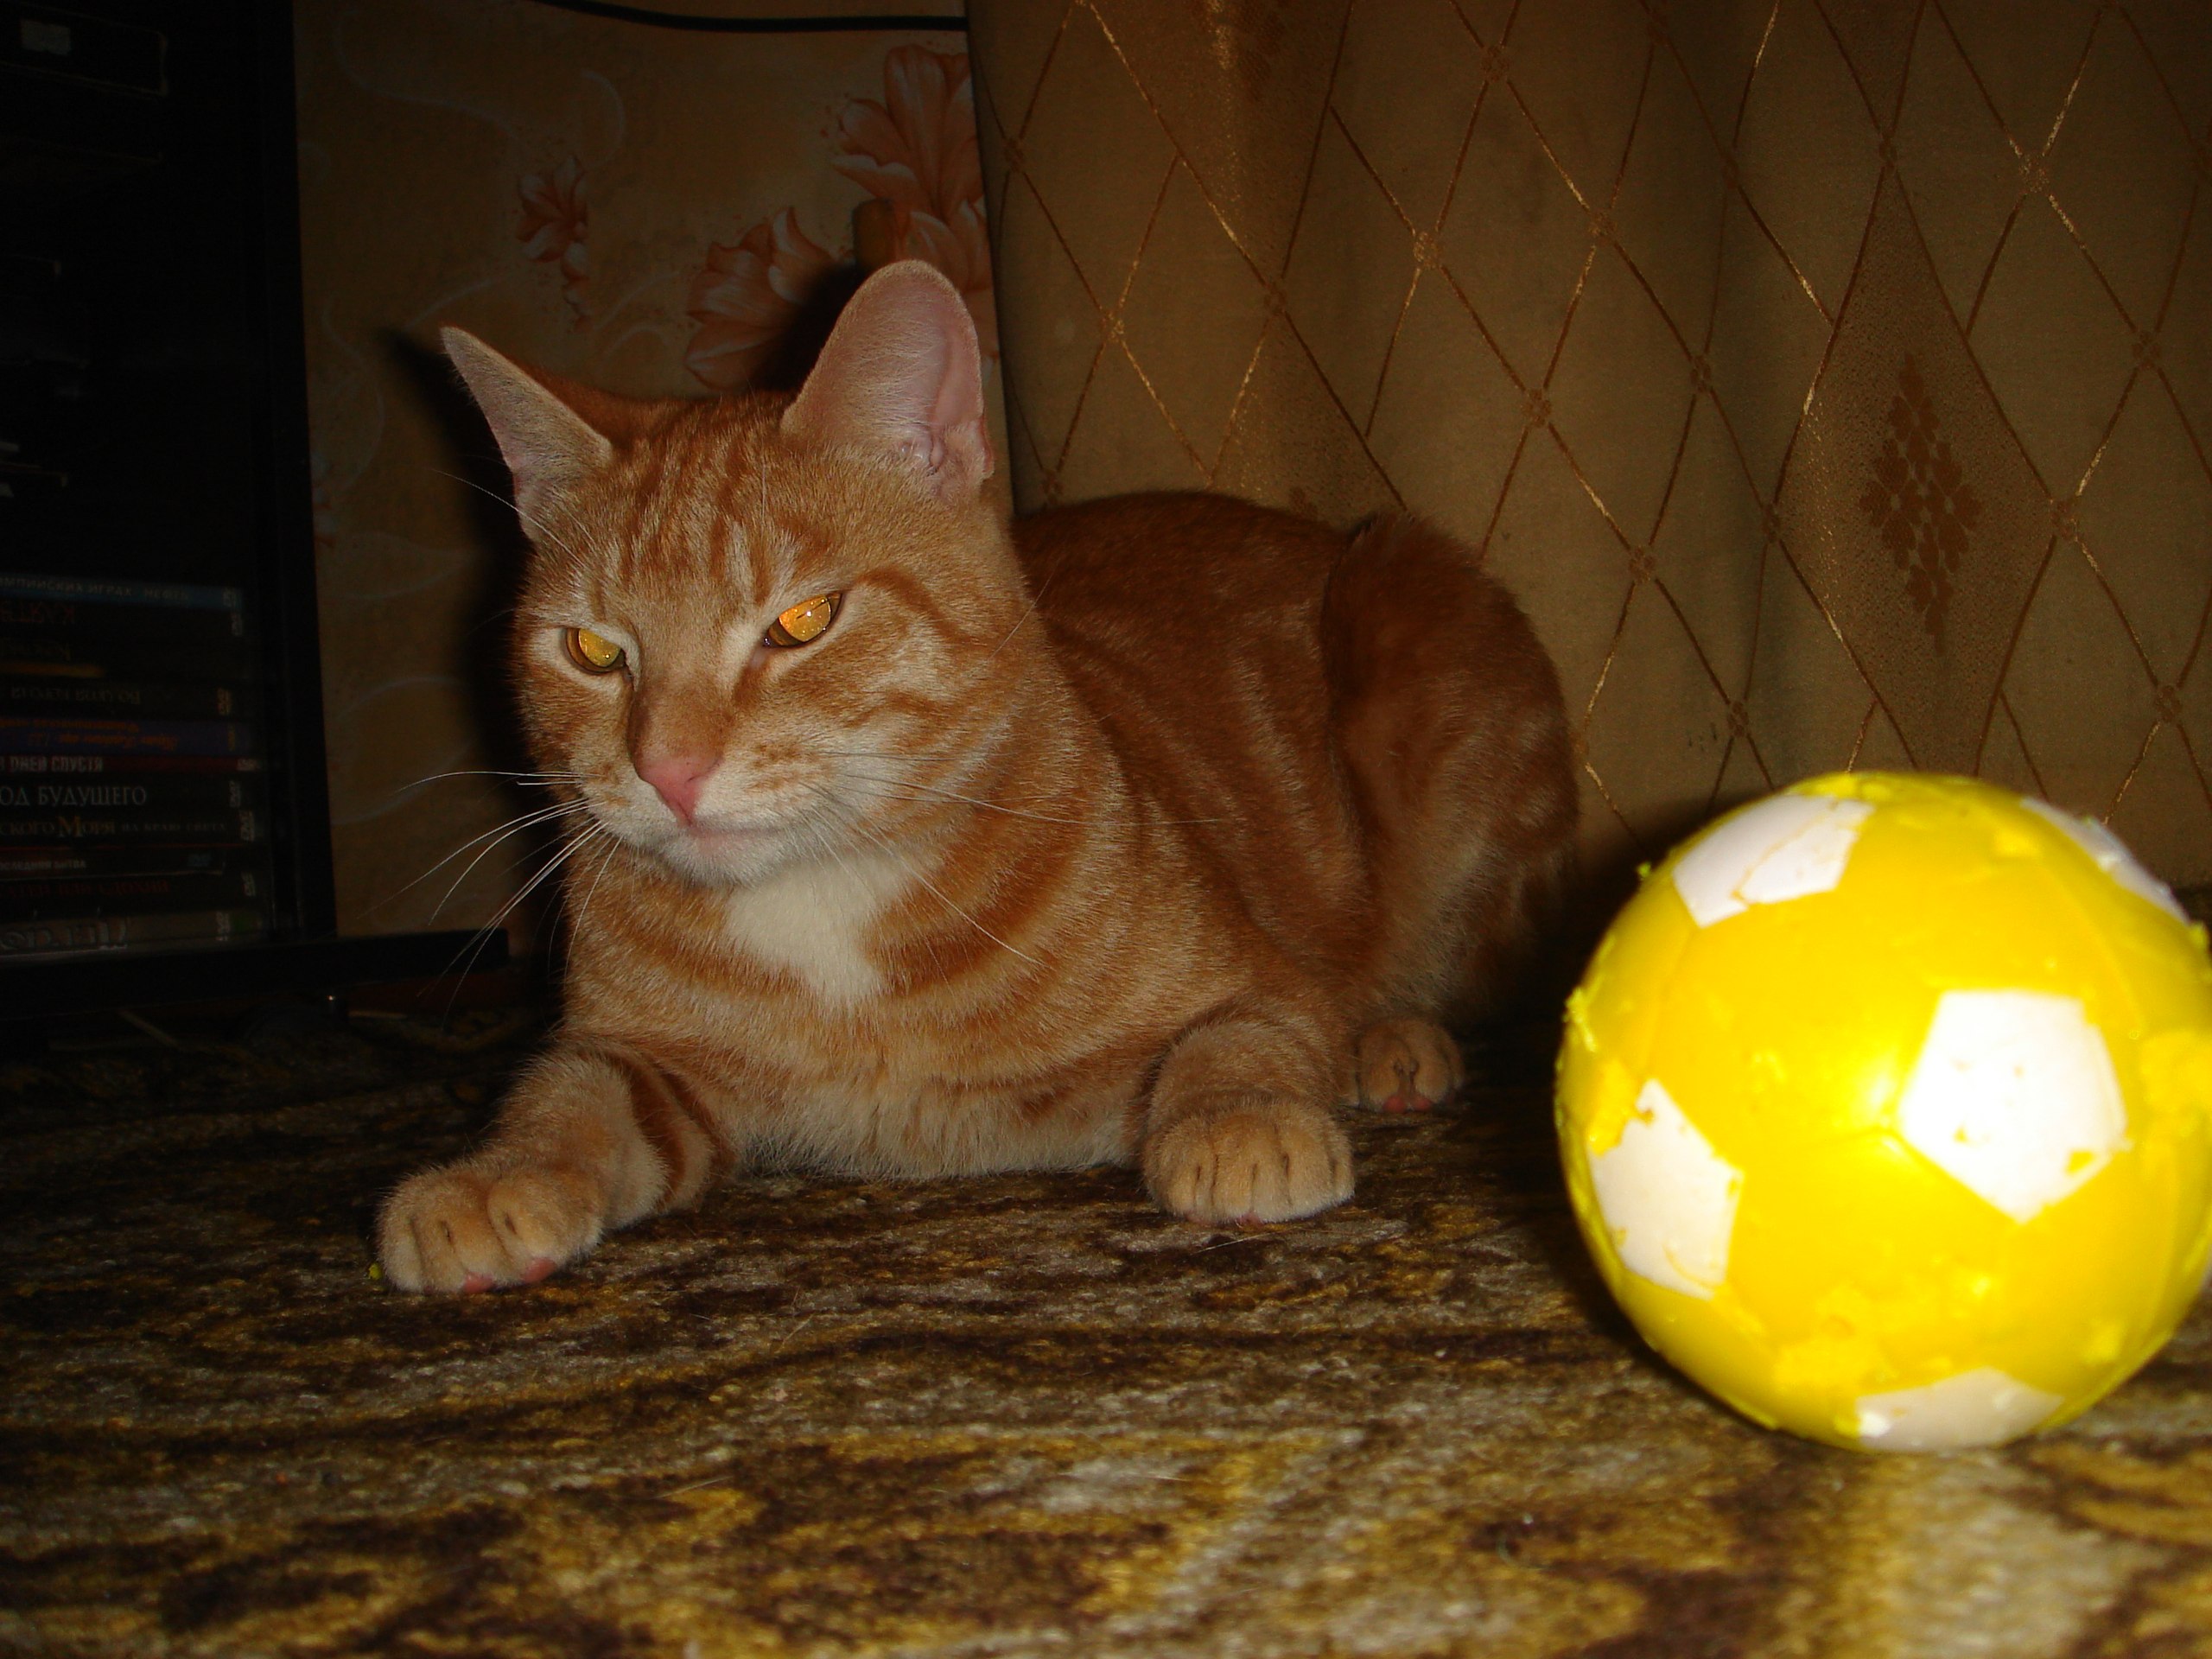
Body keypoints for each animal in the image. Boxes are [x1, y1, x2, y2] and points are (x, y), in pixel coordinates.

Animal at [376, 261, 1576, 1293]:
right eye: (593, 651)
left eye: (802, 622)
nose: (668, 769)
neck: (824, 909)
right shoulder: (650, 1062)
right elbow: (567, 1093)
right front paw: (490, 1175)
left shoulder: (1260, 981)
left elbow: (1248, 1034)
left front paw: (1241, 1118)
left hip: (1415, 623)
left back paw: (1392, 1039)